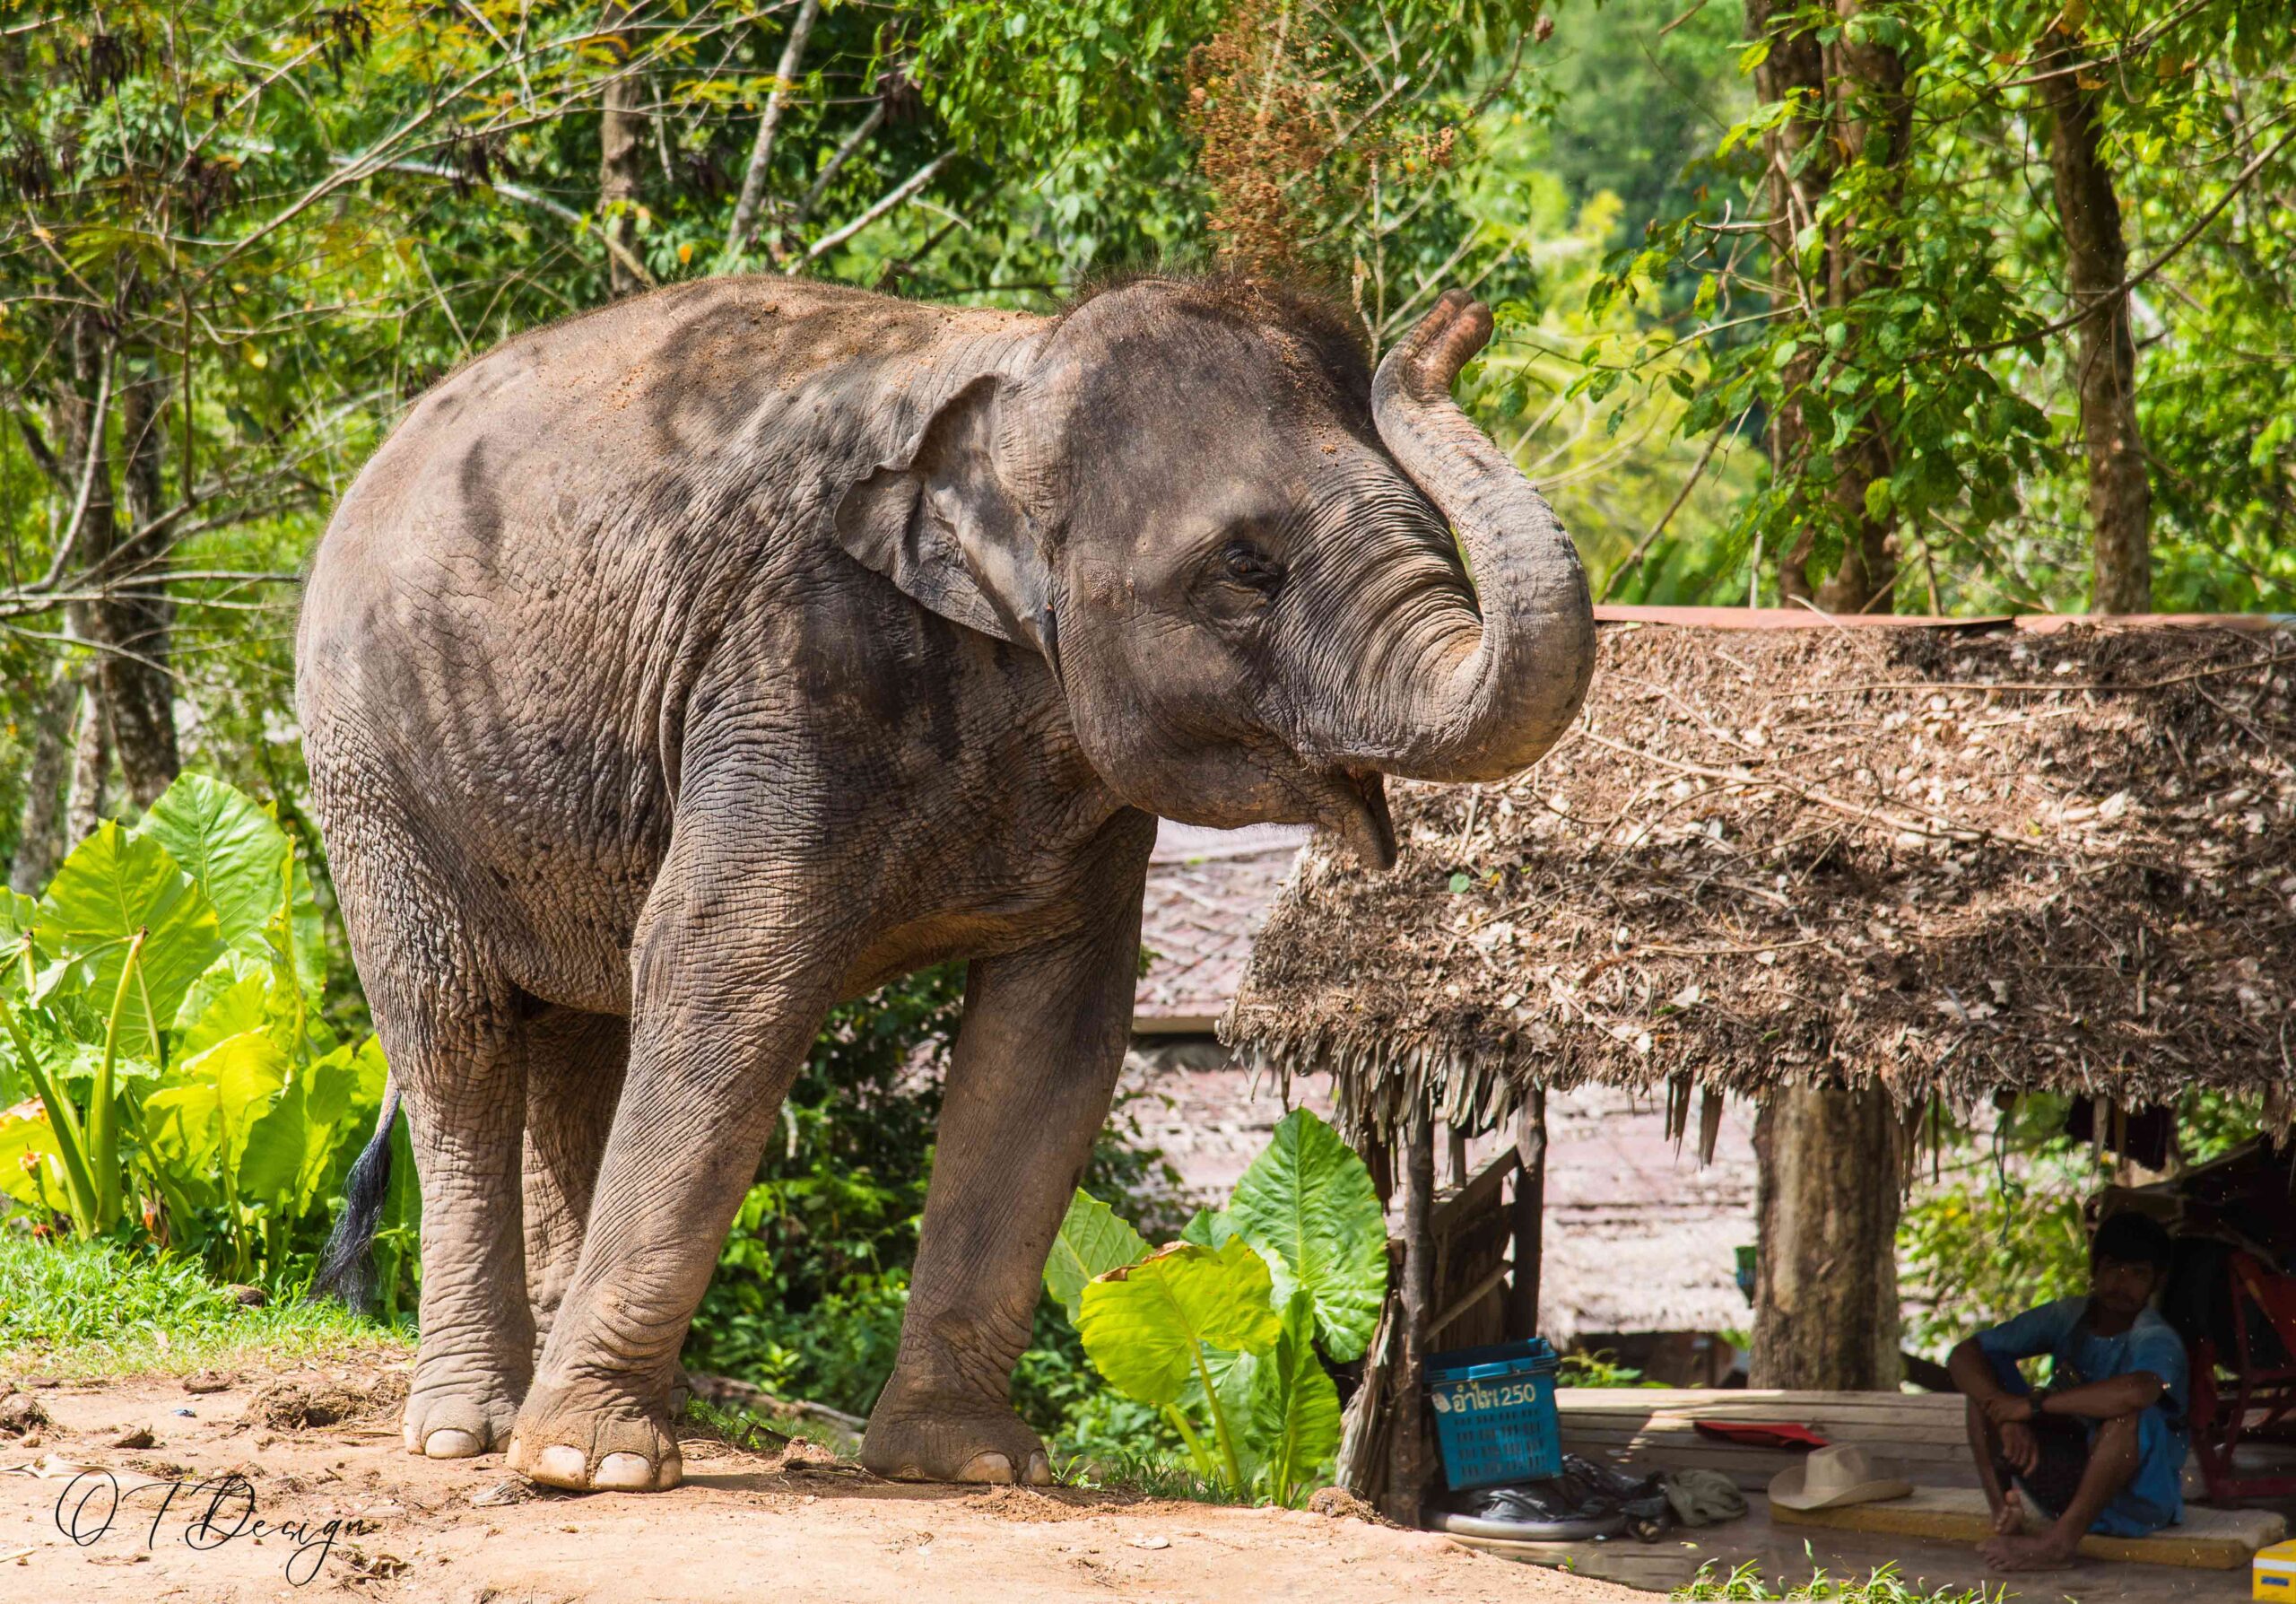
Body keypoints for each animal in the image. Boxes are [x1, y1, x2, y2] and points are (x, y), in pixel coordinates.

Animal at [296, 272, 1597, 1488]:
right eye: (1245, 566)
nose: (1462, 313)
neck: (1017, 373)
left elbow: (1058, 1038)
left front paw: (971, 1464)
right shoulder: (787, 670)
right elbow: (723, 969)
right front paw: (590, 1467)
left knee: (579, 1035)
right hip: (372, 776)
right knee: (455, 1035)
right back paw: (474, 1433)